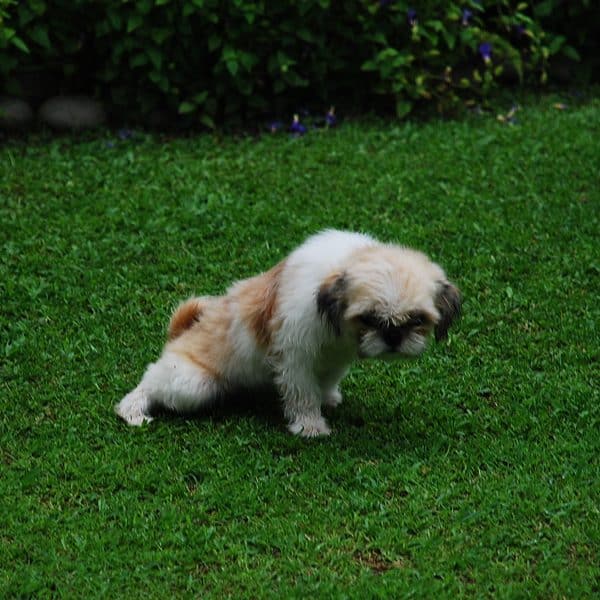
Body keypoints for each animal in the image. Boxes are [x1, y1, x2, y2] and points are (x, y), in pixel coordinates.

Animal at [116, 230, 460, 436]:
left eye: (418, 319)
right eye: (368, 318)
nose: (393, 337)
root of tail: (179, 335)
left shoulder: (335, 358)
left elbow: (326, 381)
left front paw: (328, 399)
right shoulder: (295, 356)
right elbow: (303, 392)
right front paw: (311, 427)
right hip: (193, 383)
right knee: (150, 384)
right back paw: (134, 410)